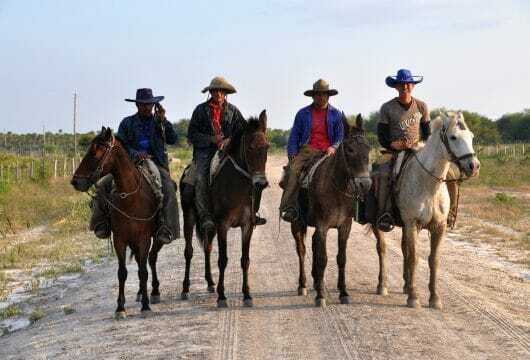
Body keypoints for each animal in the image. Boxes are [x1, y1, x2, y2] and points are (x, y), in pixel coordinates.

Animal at [71, 128, 164, 320]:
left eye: (95, 152)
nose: (75, 181)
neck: (130, 198)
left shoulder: (144, 239)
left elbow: (143, 271)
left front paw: (145, 306)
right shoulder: (119, 239)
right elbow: (122, 273)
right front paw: (120, 308)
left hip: (154, 239)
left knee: (151, 260)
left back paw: (154, 292)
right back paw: (140, 293)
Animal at [179, 111, 268, 308]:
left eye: (267, 147)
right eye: (249, 148)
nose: (261, 183)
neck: (237, 185)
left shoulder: (247, 225)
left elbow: (245, 260)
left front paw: (247, 295)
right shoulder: (223, 225)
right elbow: (223, 260)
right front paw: (222, 297)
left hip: (209, 226)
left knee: (207, 247)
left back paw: (210, 283)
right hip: (189, 217)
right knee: (189, 252)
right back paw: (185, 289)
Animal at [288, 115, 372, 306]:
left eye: (368, 147)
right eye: (349, 149)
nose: (364, 184)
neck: (336, 189)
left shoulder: (344, 227)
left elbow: (341, 258)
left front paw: (344, 292)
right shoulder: (322, 226)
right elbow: (322, 259)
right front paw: (320, 296)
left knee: (312, 244)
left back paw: (316, 281)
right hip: (297, 224)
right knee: (301, 250)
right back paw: (303, 284)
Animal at [372, 112, 478, 310]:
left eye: (471, 136)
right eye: (453, 137)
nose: (473, 165)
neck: (429, 185)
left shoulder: (438, 227)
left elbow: (433, 260)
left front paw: (434, 298)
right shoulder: (412, 224)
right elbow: (414, 258)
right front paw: (414, 298)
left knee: (403, 248)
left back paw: (406, 285)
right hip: (378, 223)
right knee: (381, 248)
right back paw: (383, 285)